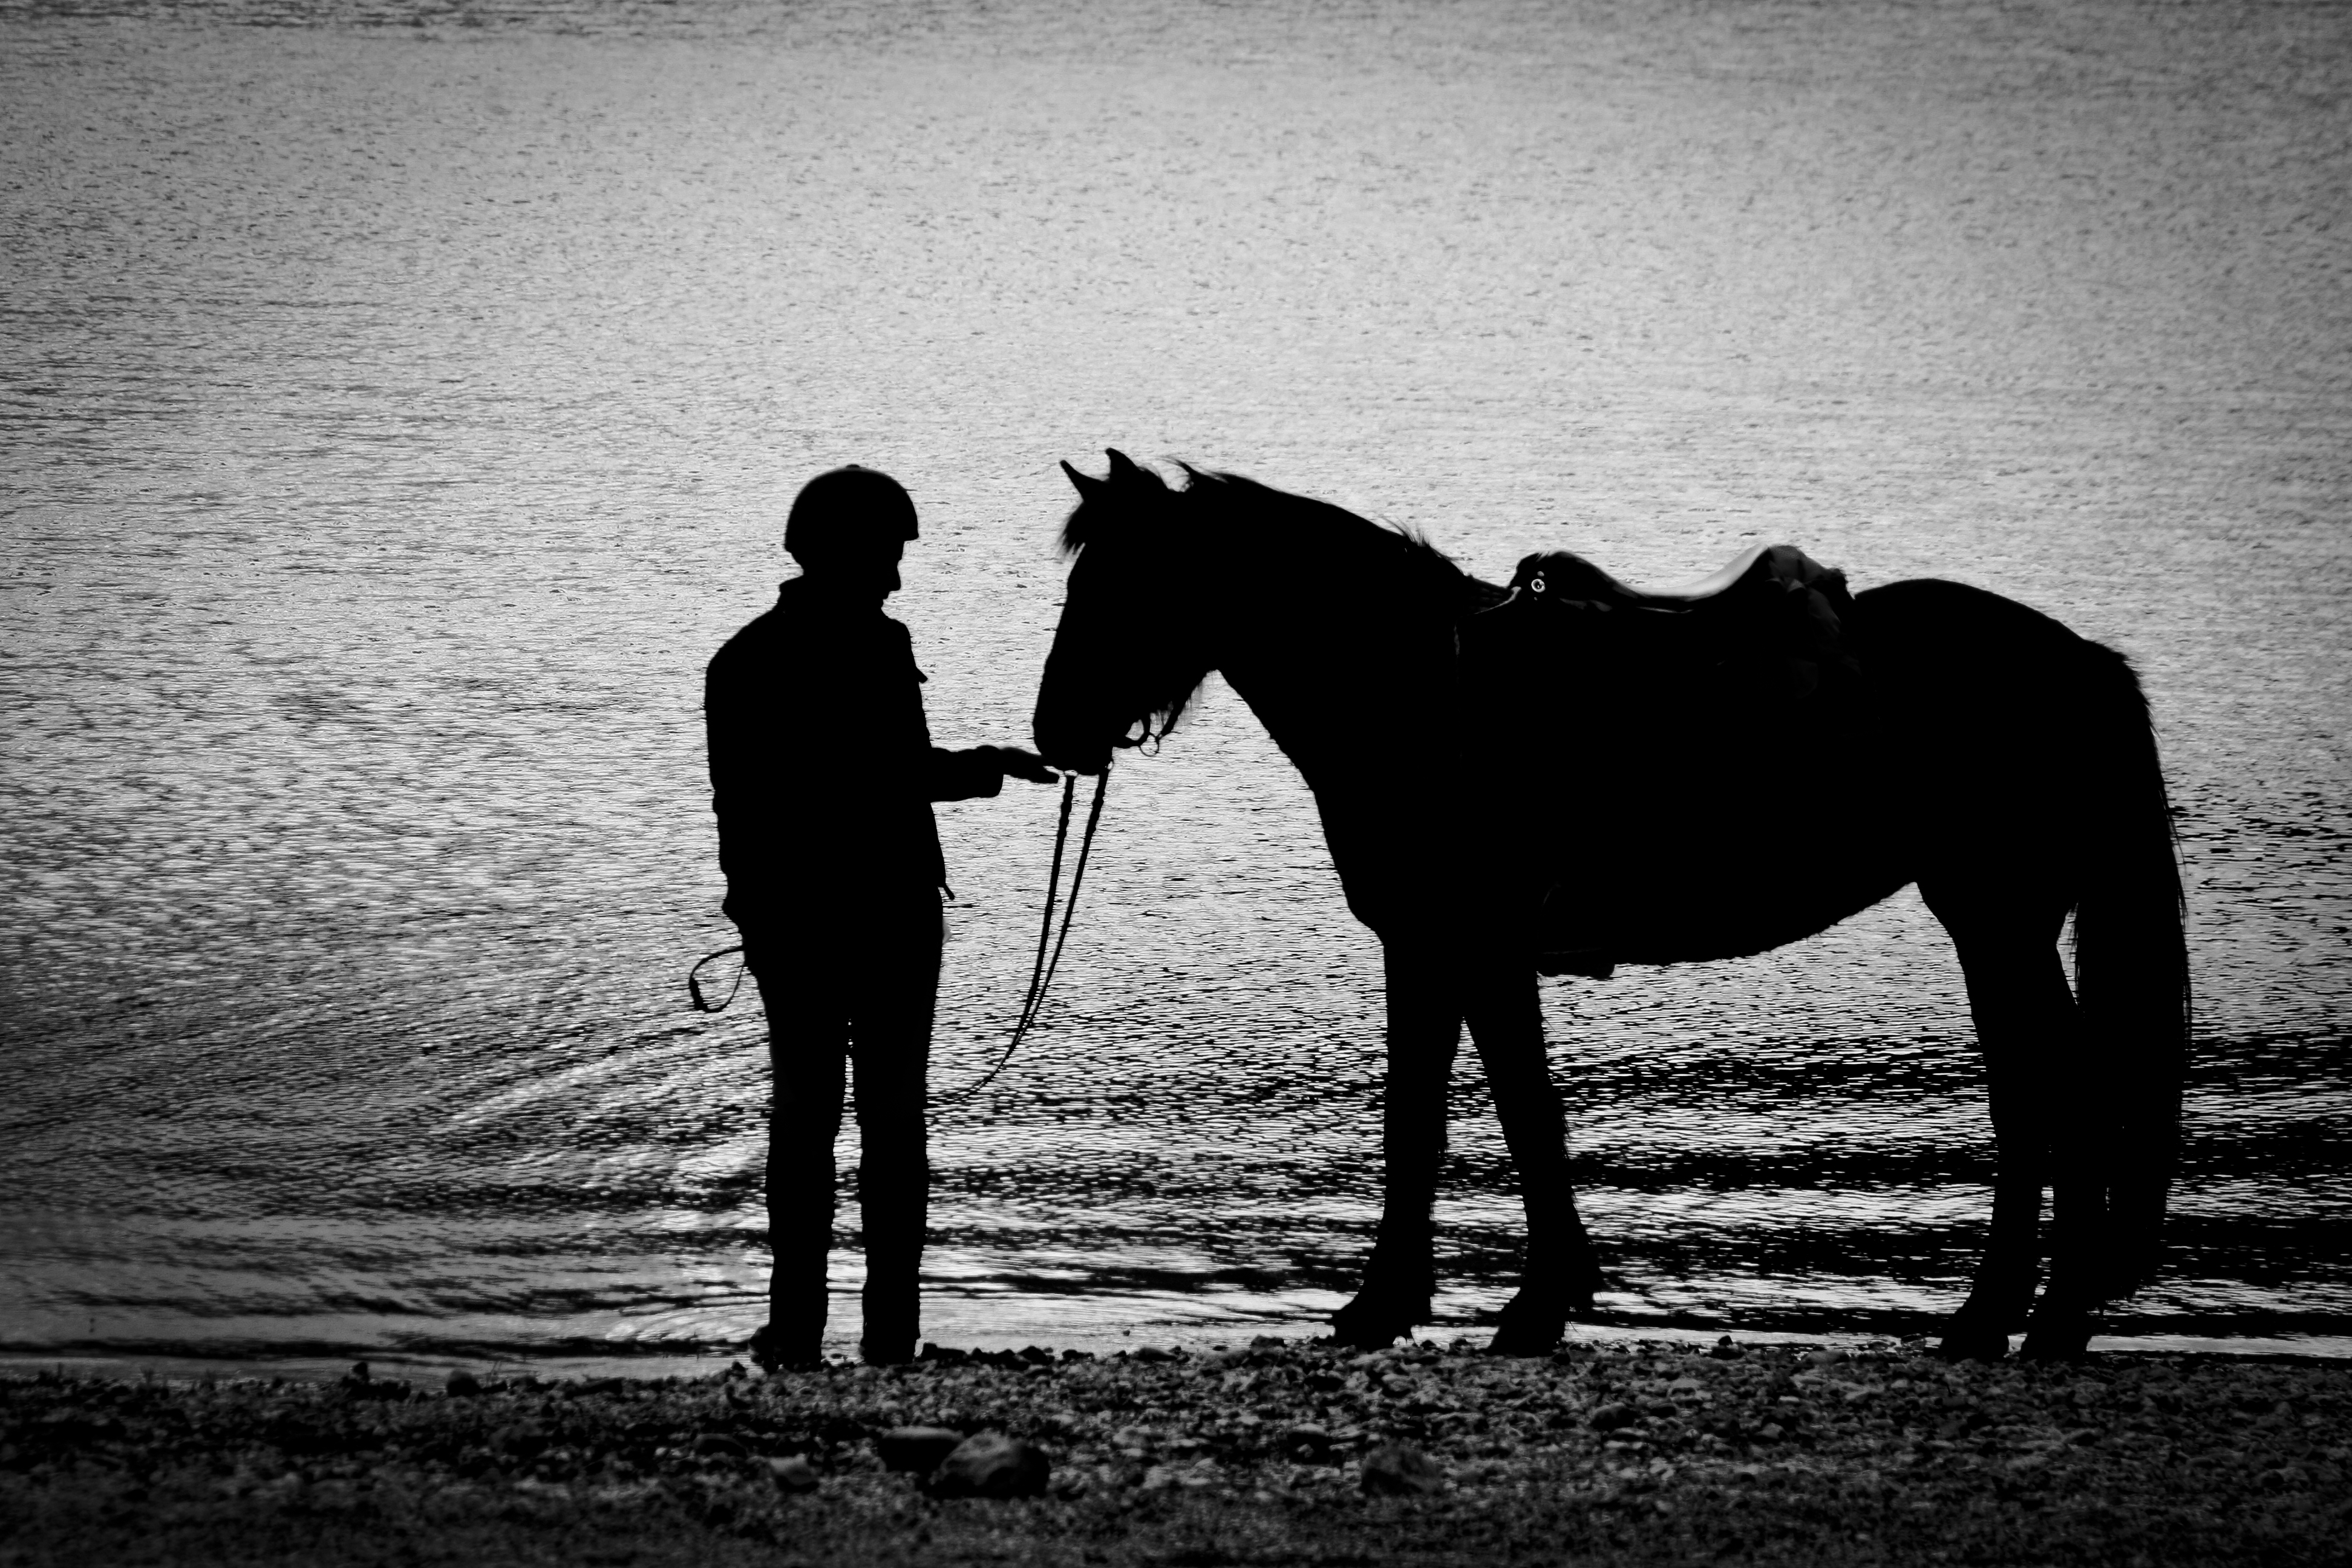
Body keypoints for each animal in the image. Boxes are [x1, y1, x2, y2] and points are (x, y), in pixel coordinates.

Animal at [1030, 454, 2183, 1363]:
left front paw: (1518, 1305)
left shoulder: (1474, 945)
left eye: (1123, 581)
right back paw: (1998, 1321)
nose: (1053, 730)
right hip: (1995, 925)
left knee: (2060, 1100)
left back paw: (2032, 1320)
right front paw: (1407, 1301)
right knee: (2033, 1101)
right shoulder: (1430, 948)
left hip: (1996, 918)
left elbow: (1512, 1115)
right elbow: (1432, 1117)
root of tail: (2079, 661)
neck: (1431, 699)